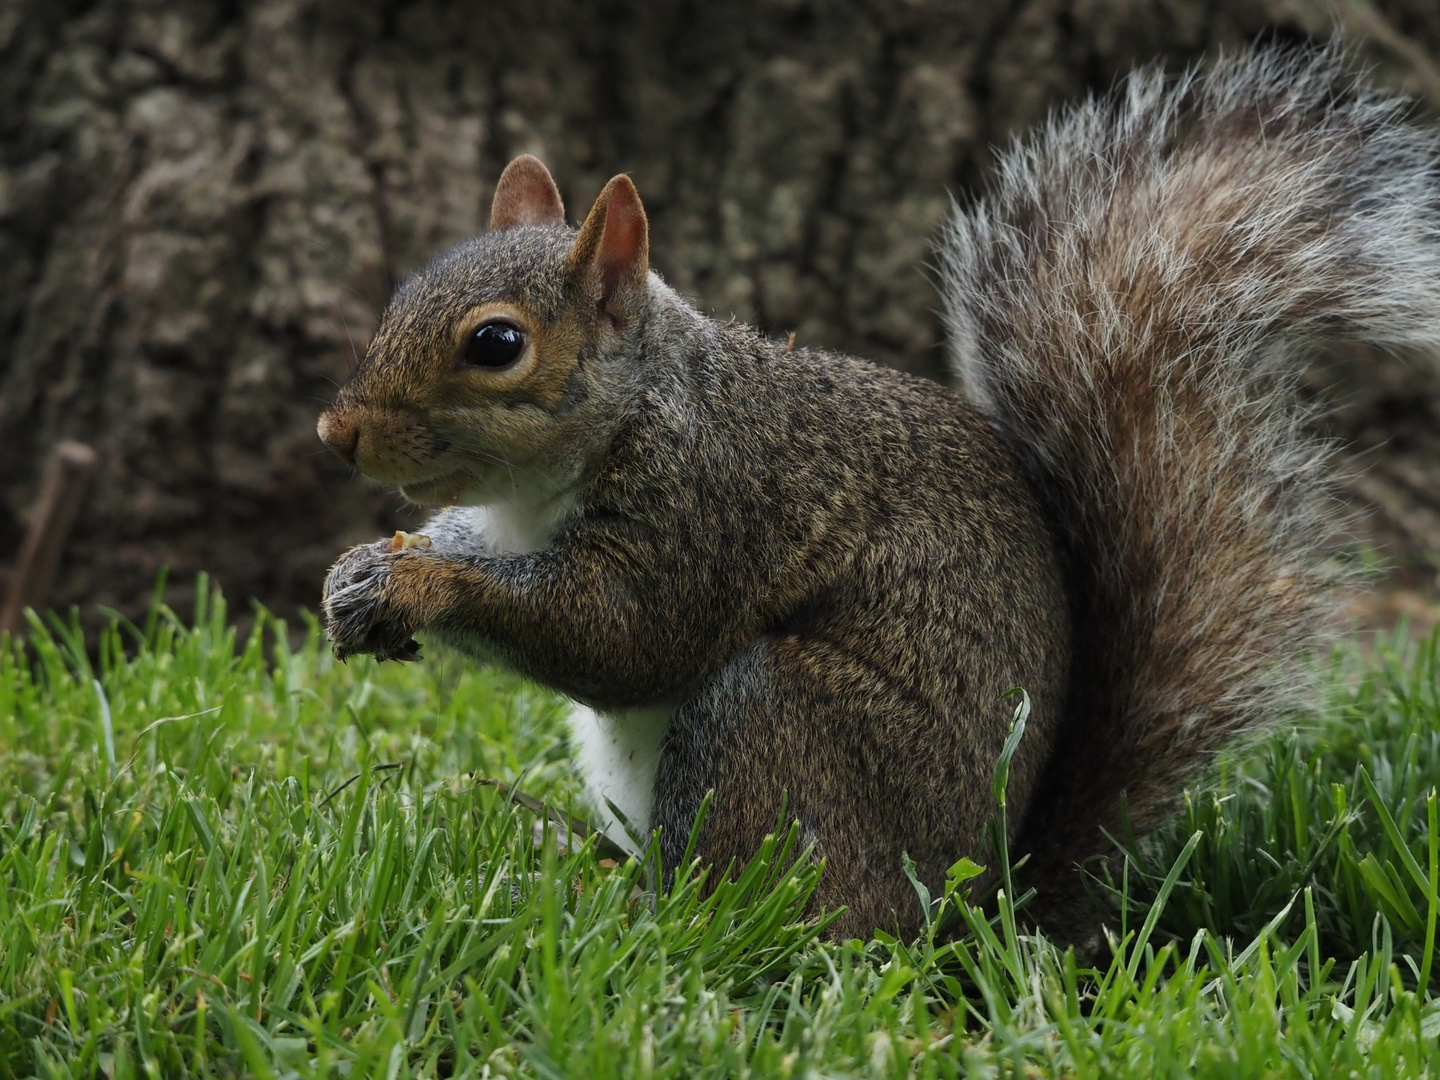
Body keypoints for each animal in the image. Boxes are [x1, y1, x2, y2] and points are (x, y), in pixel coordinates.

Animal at [321, 42, 1440, 938]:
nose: (339, 435)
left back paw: (652, 915)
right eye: (402, 292)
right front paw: (359, 573)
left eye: (496, 345)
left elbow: (626, 637)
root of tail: (983, 900)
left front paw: (423, 587)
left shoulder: (710, 505)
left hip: (782, 723)